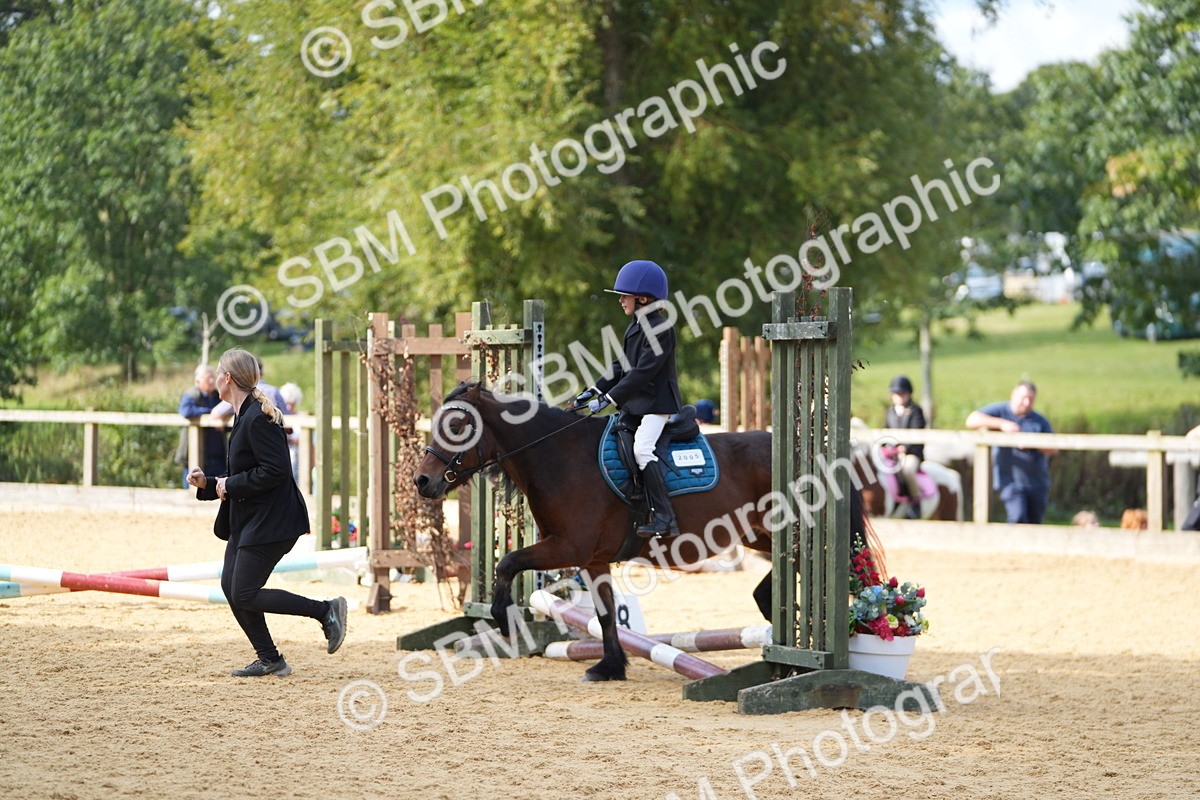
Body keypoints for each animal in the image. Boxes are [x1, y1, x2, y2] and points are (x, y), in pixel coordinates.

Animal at [413, 381, 866, 682]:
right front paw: (610, 666)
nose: (422, 481)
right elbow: (605, 612)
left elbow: (507, 562)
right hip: (760, 535)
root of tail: (807, 450)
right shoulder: (591, 557)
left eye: (458, 427)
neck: (560, 457)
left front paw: (504, 619)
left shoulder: (567, 546)